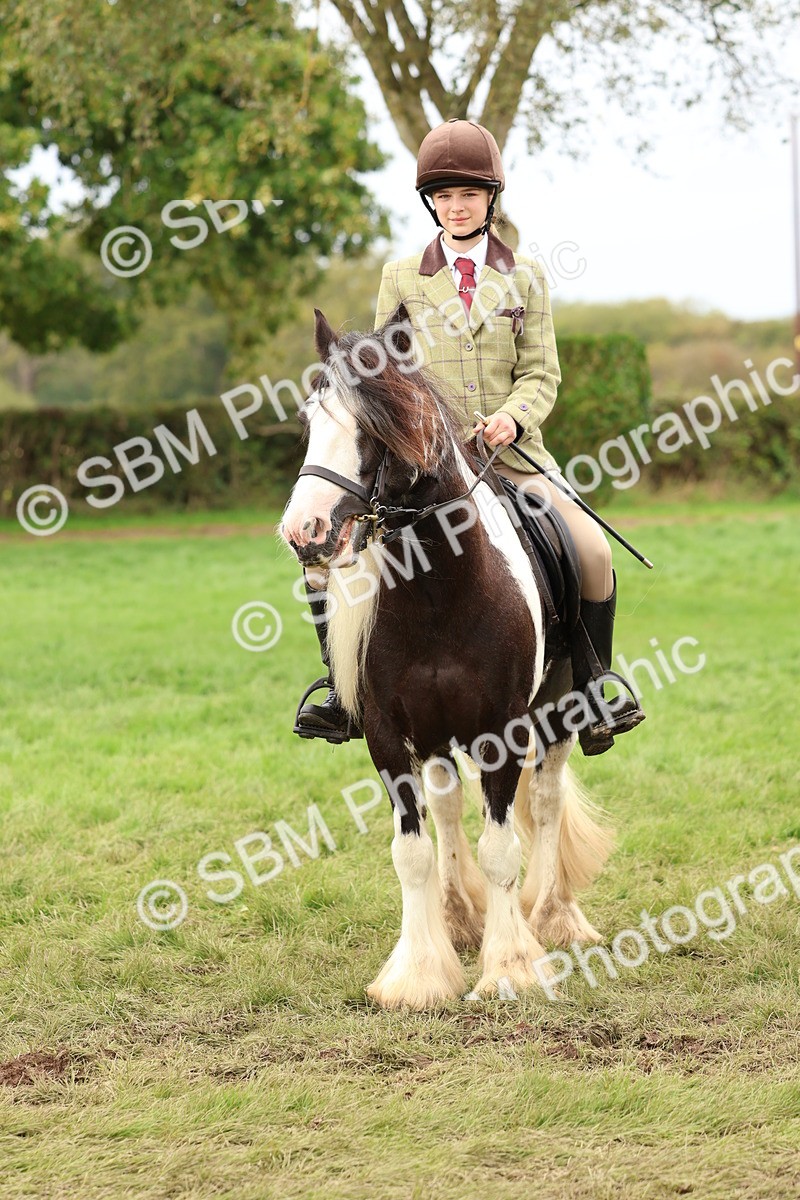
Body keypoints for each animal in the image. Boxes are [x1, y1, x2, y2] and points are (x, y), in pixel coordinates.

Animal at [280, 304, 613, 1010]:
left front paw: (510, 966)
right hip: (434, 733)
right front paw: (419, 974)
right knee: (449, 809)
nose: (305, 533)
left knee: (546, 804)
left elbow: (502, 848)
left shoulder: (502, 730)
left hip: (560, 711)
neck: (437, 590)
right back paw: (461, 920)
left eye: (379, 425)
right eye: (311, 418)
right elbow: (412, 852)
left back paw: (553, 919)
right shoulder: (388, 733)